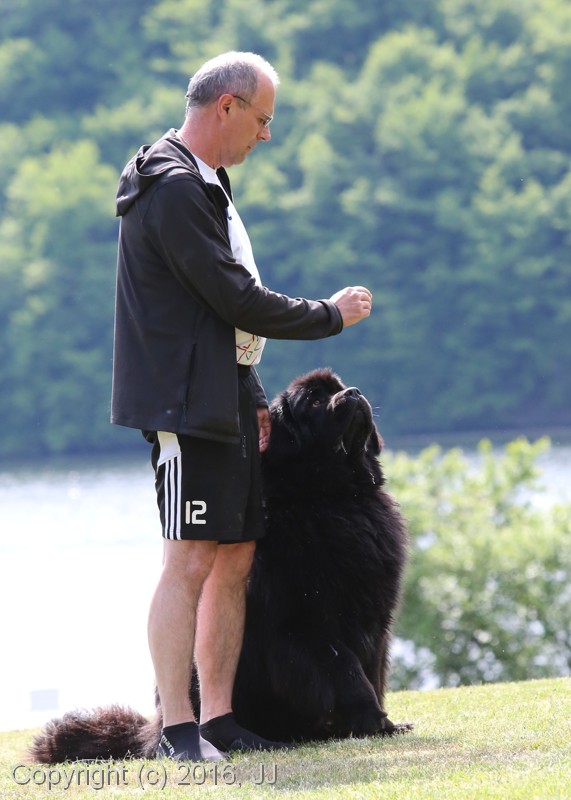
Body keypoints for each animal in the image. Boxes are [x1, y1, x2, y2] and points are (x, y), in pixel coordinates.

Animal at [29, 368, 409, 762]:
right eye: (316, 401)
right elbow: (349, 675)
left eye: (340, 387)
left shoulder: (374, 623)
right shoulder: (311, 626)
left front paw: (383, 723)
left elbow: (372, 673)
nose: (355, 393)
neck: (334, 499)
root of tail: (153, 732)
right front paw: (372, 722)